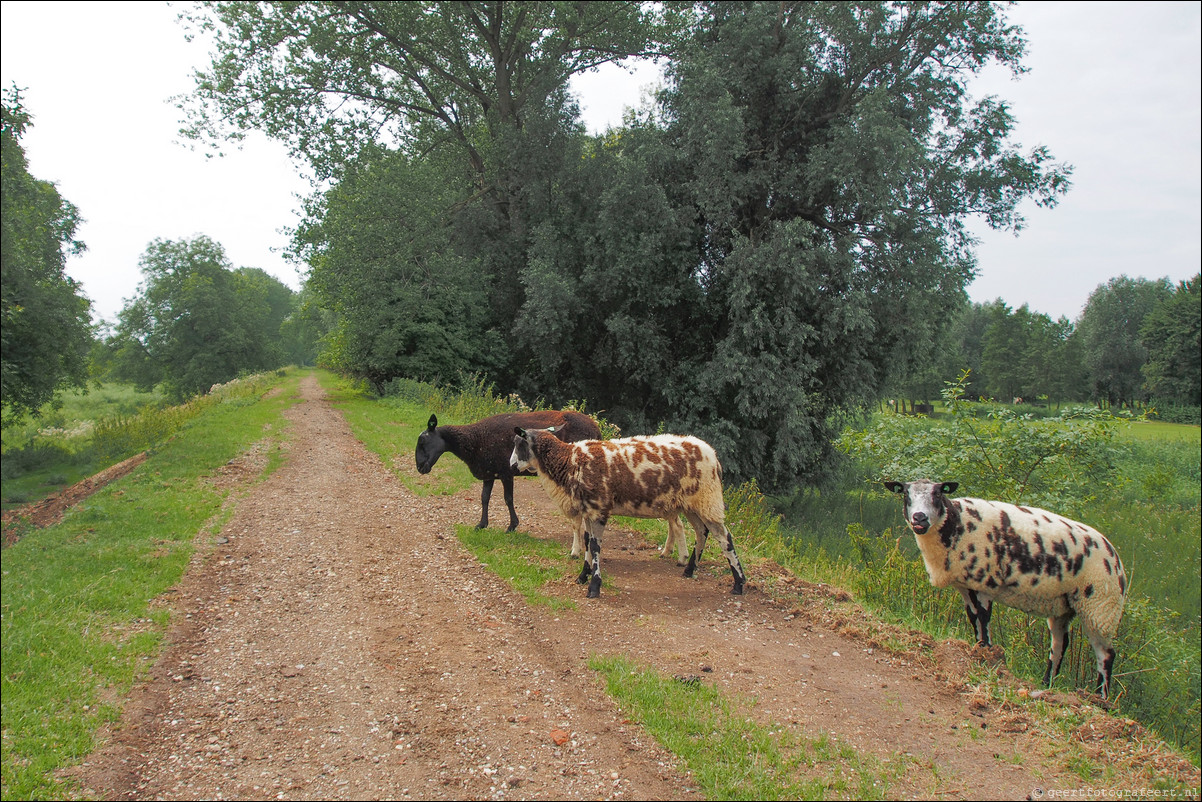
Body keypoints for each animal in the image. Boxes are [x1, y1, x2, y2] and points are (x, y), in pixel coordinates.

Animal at [415, 413, 601, 533]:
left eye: (422, 441)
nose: (419, 467)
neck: (473, 440)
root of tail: (596, 429)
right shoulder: (489, 473)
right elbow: (484, 498)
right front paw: (481, 524)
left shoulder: (506, 472)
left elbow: (508, 499)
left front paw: (512, 526)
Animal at [884, 480, 1125, 697]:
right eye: (906, 494)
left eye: (937, 493)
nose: (920, 518)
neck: (957, 525)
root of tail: (1114, 556)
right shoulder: (966, 585)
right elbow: (974, 619)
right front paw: (978, 650)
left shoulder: (985, 582)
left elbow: (983, 618)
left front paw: (987, 655)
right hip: (1062, 606)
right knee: (1060, 645)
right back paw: (1047, 684)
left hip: (1100, 605)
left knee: (1106, 654)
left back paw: (1100, 697)